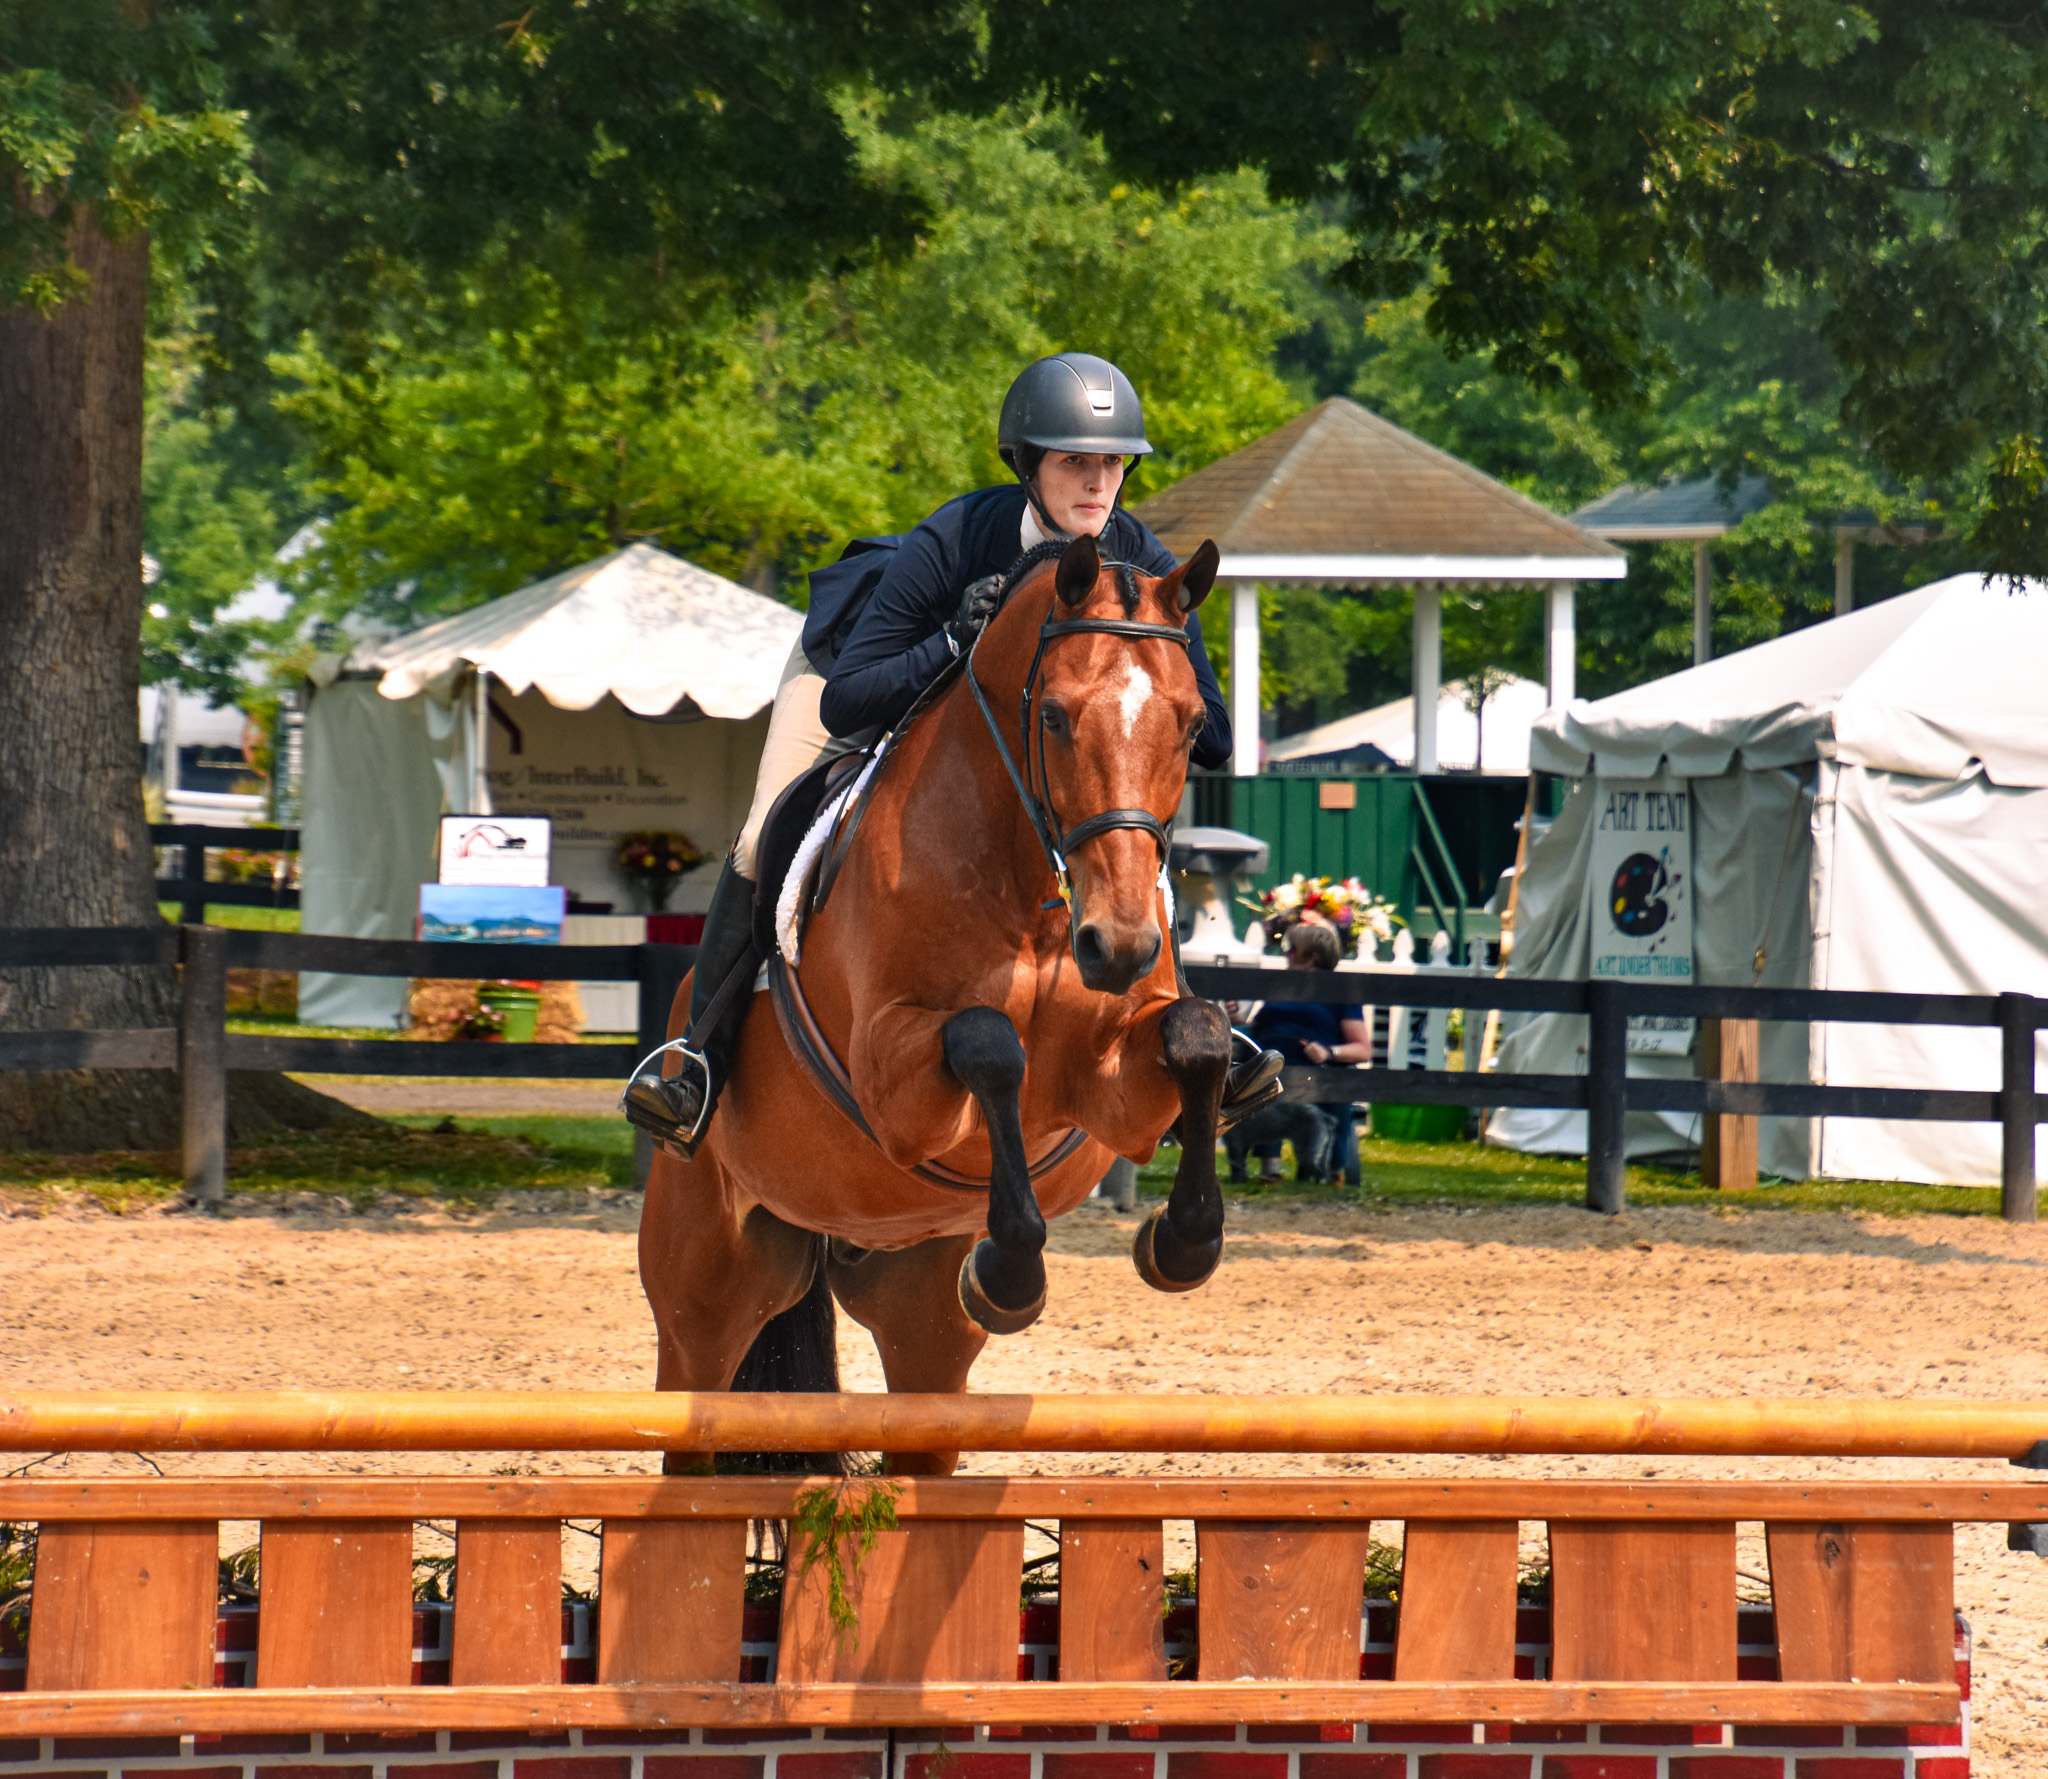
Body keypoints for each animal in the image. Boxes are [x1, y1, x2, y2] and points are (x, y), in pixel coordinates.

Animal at [638, 532, 1232, 1475]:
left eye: (1189, 724)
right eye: (1054, 716)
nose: (1121, 945)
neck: (1029, 886)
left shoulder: (1113, 1094)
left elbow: (1199, 1033)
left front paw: (1182, 1243)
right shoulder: (891, 1082)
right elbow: (989, 1041)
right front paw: (1011, 1271)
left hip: (921, 1320)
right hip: (703, 1293)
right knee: (690, 1414)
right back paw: (676, 1088)